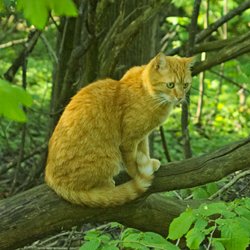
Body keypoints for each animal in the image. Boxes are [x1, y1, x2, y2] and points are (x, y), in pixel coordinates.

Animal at [45, 52, 193, 207]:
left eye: (185, 85)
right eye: (170, 85)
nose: (180, 97)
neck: (148, 93)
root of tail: (50, 178)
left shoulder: (142, 136)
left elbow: (144, 150)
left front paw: (149, 161)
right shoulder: (129, 140)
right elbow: (132, 163)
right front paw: (138, 173)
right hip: (110, 158)